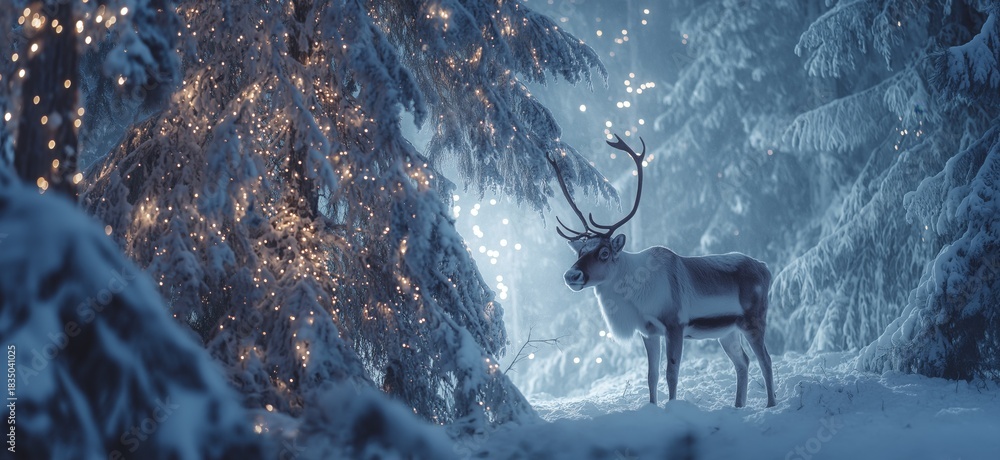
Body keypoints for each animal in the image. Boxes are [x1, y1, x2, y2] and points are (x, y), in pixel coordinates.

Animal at [547, 134, 776, 408]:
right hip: (728, 330)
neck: (636, 296)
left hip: (754, 319)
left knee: (766, 360)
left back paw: (771, 405)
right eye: (579, 252)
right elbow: (652, 376)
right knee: (743, 362)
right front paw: (653, 406)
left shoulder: (674, 325)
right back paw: (738, 406)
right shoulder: (648, 332)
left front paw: (671, 406)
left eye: (604, 252)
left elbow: (671, 373)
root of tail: (765, 267)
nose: (572, 275)